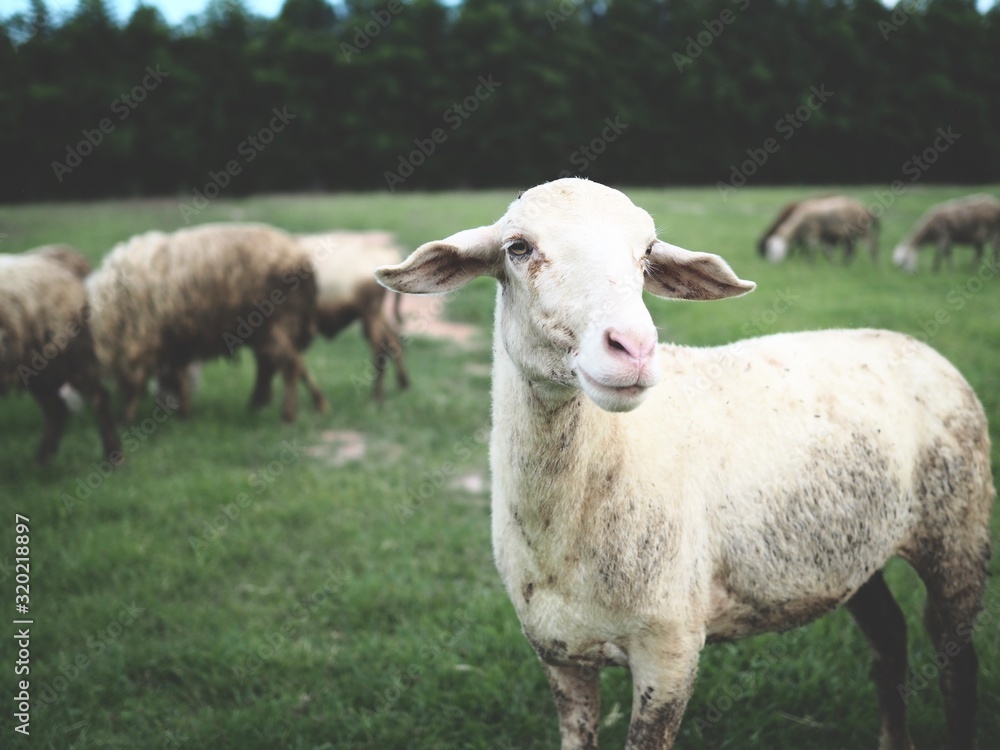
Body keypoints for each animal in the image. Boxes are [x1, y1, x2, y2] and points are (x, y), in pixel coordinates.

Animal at [86, 222, 328, 424]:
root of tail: (300, 258)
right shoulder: (174, 339)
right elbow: (179, 376)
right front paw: (184, 414)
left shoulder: (143, 339)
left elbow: (137, 381)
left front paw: (126, 417)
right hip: (275, 327)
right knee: (287, 364)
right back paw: (304, 403)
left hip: (276, 323)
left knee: (288, 366)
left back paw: (288, 414)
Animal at [296, 232, 410, 402]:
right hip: (376, 314)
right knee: (392, 340)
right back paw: (403, 384)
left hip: (370, 314)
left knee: (379, 350)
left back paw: (378, 396)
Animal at [378, 179, 996, 748]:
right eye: (518, 247)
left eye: (648, 252)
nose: (633, 348)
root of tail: (918, 345)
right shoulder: (559, 655)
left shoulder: (671, 651)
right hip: (855, 551)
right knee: (890, 642)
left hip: (958, 531)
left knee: (957, 668)